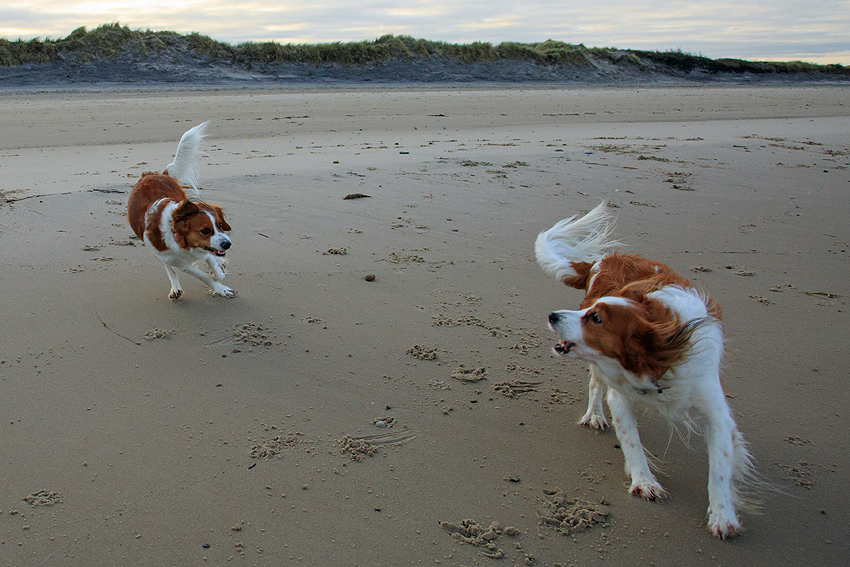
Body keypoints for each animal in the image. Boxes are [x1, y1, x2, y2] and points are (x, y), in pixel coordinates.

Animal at [126, 121, 234, 300]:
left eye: (220, 225)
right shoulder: (177, 261)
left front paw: (217, 271)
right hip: (158, 254)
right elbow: (202, 275)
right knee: (169, 269)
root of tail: (148, 174)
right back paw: (175, 288)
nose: (228, 244)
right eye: (205, 230)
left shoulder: (205, 249)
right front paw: (219, 287)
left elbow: (212, 262)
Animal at [536, 202, 756, 540]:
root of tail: (606, 258)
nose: (553, 315)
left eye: (596, 318)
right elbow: (631, 441)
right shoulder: (619, 395)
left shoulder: (714, 407)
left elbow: (720, 466)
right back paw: (594, 415)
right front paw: (645, 482)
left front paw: (722, 515)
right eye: (590, 311)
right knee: (595, 384)